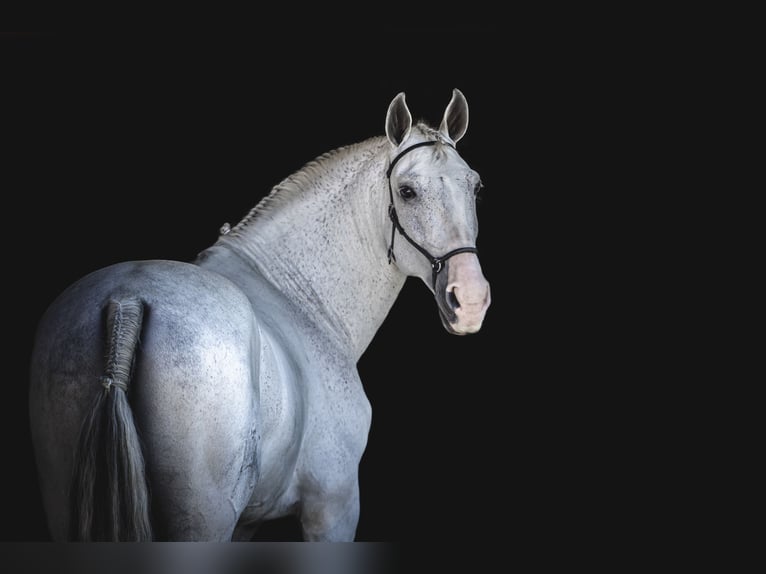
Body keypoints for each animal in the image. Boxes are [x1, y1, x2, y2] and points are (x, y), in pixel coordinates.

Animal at [28, 88, 491, 541]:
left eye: (476, 187)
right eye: (407, 191)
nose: (469, 300)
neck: (298, 299)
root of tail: (127, 300)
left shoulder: (248, 523)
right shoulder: (334, 506)